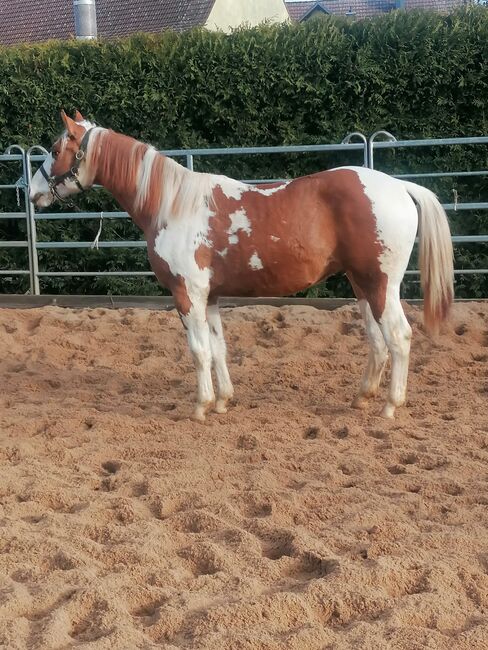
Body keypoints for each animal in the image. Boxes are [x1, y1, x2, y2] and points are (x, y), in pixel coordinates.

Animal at [29, 111, 454, 422]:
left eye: (54, 148)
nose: (31, 191)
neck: (171, 204)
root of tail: (399, 187)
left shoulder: (187, 295)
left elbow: (198, 351)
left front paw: (201, 406)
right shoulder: (210, 297)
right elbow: (218, 348)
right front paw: (222, 401)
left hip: (381, 284)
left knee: (398, 337)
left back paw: (390, 407)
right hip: (361, 284)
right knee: (378, 342)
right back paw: (363, 397)